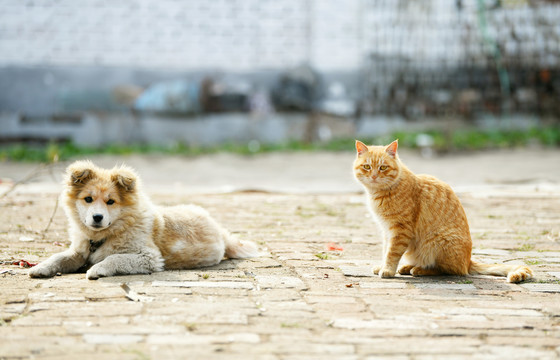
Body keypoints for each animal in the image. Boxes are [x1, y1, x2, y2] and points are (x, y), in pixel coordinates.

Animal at [29, 160, 260, 282]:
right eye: (88, 199)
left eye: (110, 201)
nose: (97, 217)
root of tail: (220, 232)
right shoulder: (78, 251)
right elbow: (59, 257)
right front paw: (41, 267)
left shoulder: (149, 257)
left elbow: (115, 258)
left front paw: (97, 269)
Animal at [354, 139, 532, 282]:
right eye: (367, 167)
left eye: (383, 167)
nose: (374, 176)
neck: (380, 194)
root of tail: (468, 261)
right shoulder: (387, 230)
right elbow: (385, 250)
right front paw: (382, 266)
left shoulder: (400, 230)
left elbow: (392, 252)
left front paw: (387, 270)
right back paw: (407, 267)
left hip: (438, 242)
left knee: (448, 270)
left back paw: (417, 270)